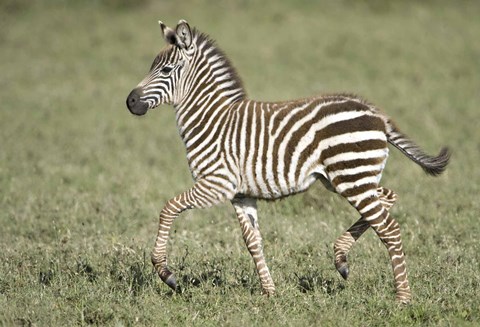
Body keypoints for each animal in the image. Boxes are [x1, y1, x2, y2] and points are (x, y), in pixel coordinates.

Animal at [124, 19, 450, 304]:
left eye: (167, 70)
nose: (130, 102)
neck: (211, 119)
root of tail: (376, 113)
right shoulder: (241, 194)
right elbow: (253, 242)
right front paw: (270, 292)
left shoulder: (216, 184)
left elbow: (168, 208)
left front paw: (165, 272)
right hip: (346, 178)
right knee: (387, 198)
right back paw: (341, 258)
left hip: (351, 176)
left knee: (389, 228)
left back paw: (403, 298)